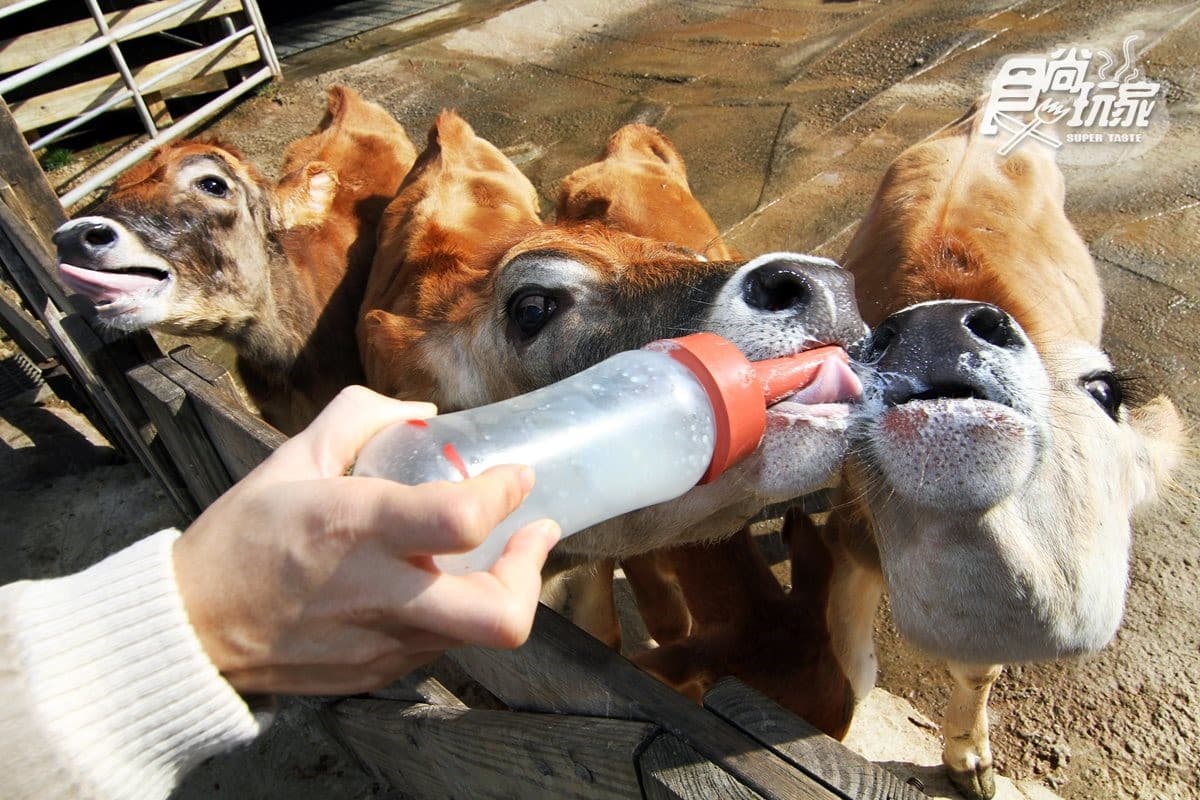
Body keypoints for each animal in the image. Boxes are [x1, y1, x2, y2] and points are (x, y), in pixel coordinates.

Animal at [822, 100, 1184, 798]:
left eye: (1106, 388)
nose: (938, 332)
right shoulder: (852, 529)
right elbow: (851, 660)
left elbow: (976, 669)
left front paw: (968, 761)